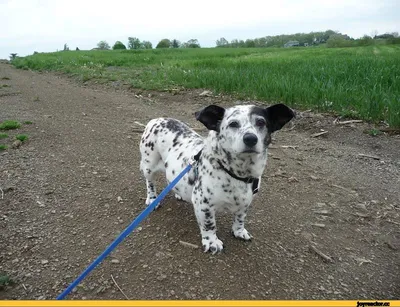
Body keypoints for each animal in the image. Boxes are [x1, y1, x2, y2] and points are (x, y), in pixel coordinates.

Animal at [140, 104, 294, 255]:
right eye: (233, 124)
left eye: (261, 122)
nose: (250, 138)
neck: (236, 174)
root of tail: (156, 119)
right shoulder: (203, 204)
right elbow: (209, 224)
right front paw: (211, 242)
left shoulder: (246, 202)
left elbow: (240, 218)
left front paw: (239, 231)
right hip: (149, 166)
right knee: (150, 183)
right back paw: (152, 199)